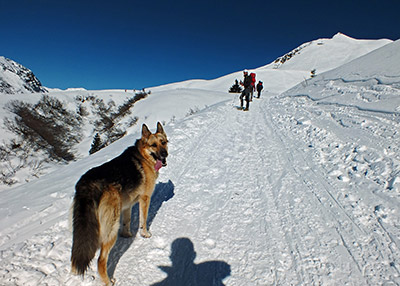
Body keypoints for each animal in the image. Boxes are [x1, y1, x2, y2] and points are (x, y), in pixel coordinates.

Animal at [71, 122, 168, 284]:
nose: (165, 154)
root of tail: (87, 184)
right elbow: (143, 220)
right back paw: (109, 282)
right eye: (153, 145)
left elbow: (127, 222)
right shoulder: (144, 199)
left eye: (164, 142)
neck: (143, 157)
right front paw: (145, 234)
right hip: (111, 227)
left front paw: (127, 235)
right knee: (101, 260)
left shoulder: (127, 205)